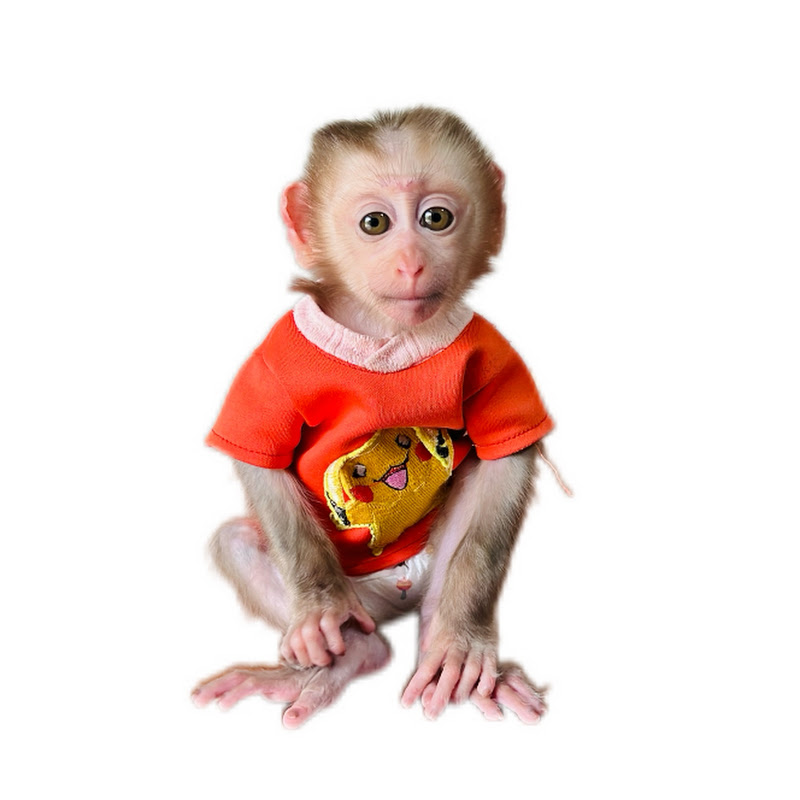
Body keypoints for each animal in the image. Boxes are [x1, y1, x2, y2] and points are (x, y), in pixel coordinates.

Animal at [192, 107, 553, 728]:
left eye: (436, 218)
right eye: (375, 223)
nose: (411, 263)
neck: (382, 333)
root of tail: (400, 589)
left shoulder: (490, 348)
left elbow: (506, 458)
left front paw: (461, 641)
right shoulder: (274, 357)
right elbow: (261, 460)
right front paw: (319, 608)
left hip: (430, 569)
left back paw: (445, 642)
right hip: (367, 601)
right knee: (239, 542)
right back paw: (353, 653)